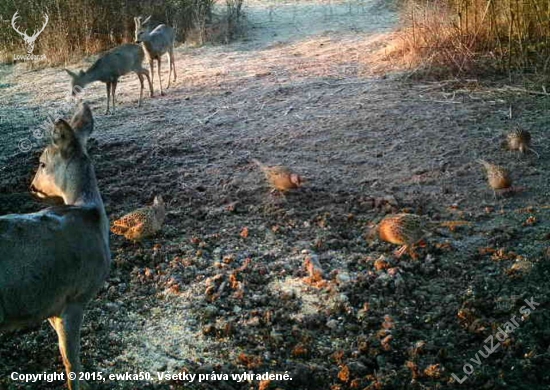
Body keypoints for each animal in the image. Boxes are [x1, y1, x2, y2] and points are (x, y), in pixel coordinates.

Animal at [0, 103, 112, 390]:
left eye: (42, 163)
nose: (31, 187)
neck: (90, 213)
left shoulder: (51, 303)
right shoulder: (76, 294)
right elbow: (71, 361)